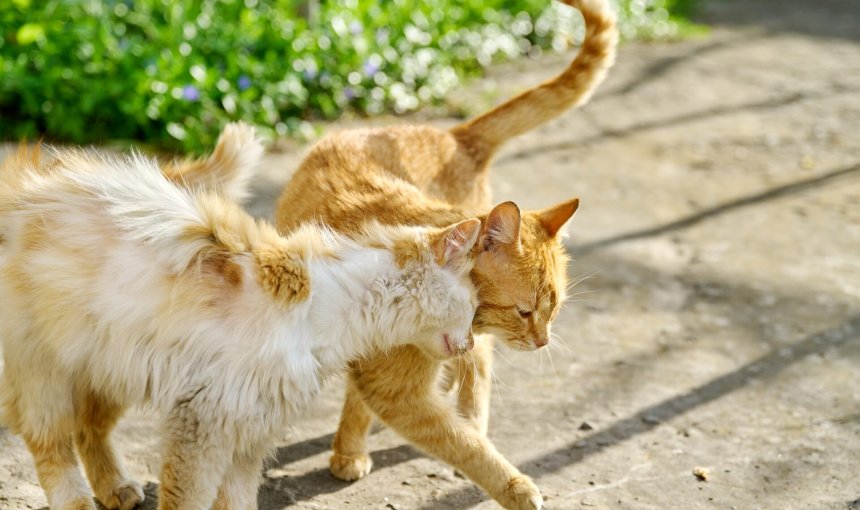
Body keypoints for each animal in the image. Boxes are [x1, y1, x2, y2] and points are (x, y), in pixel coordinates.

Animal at [178, 0, 616, 506]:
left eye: (554, 310)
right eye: (525, 312)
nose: (543, 341)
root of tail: (453, 135)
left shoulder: (403, 378)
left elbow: (462, 418)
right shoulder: (396, 389)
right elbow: (462, 445)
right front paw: (515, 485)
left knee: (473, 370)